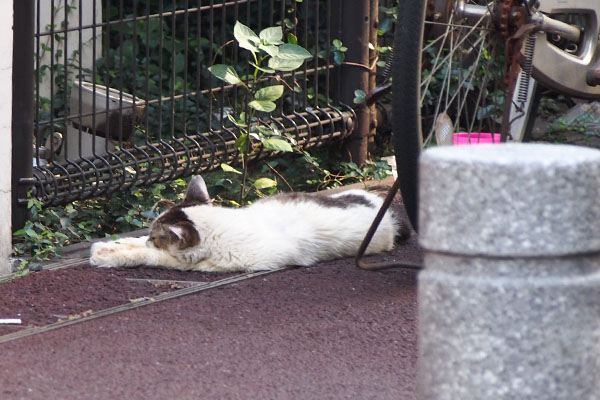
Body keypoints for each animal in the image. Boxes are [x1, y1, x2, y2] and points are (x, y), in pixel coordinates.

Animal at [89, 175, 408, 272]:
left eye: (157, 237)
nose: (148, 238)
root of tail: (387, 213)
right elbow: (130, 243)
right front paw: (108, 246)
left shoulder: (200, 265)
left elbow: (153, 257)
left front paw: (108, 255)